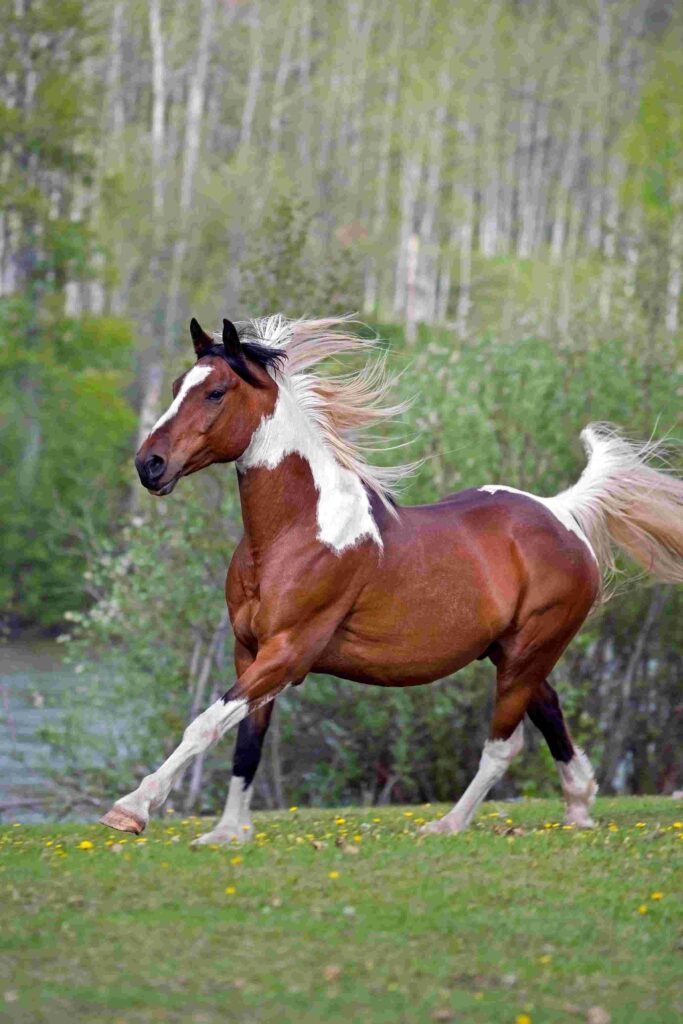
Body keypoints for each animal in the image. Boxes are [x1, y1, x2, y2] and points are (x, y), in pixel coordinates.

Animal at [98, 313, 683, 839]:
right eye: (178, 385)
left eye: (216, 392)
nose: (149, 465)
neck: (296, 533)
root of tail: (563, 513)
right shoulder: (251, 652)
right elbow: (246, 741)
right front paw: (226, 833)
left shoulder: (288, 652)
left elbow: (205, 724)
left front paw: (131, 809)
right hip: (513, 652)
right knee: (551, 714)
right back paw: (579, 807)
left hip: (529, 652)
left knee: (503, 746)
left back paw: (447, 825)